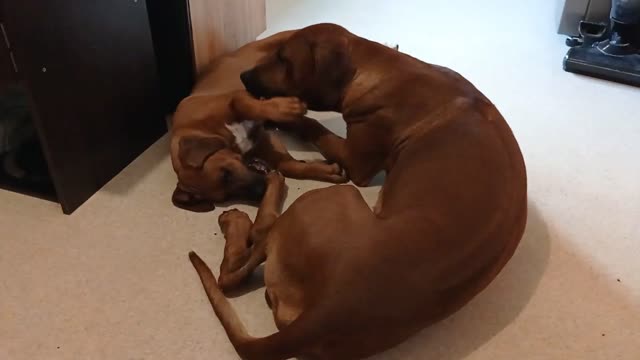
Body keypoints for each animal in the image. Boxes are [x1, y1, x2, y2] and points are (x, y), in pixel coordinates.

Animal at [169, 31, 344, 212]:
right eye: (225, 197)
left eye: (225, 173)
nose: (261, 192)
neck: (203, 128)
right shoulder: (263, 140)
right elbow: (288, 165)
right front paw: (325, 170)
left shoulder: (237, 98)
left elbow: (243, 104)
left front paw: (287, 108)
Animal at [188, 23, 528, 358]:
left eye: (284, 58)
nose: (243, 77)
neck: (382, 68)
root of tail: (327, 310)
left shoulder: (356, 162)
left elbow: (313, 126)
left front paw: (283, 115)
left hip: (325, 198)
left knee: (238, 263)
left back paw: (238, 216)